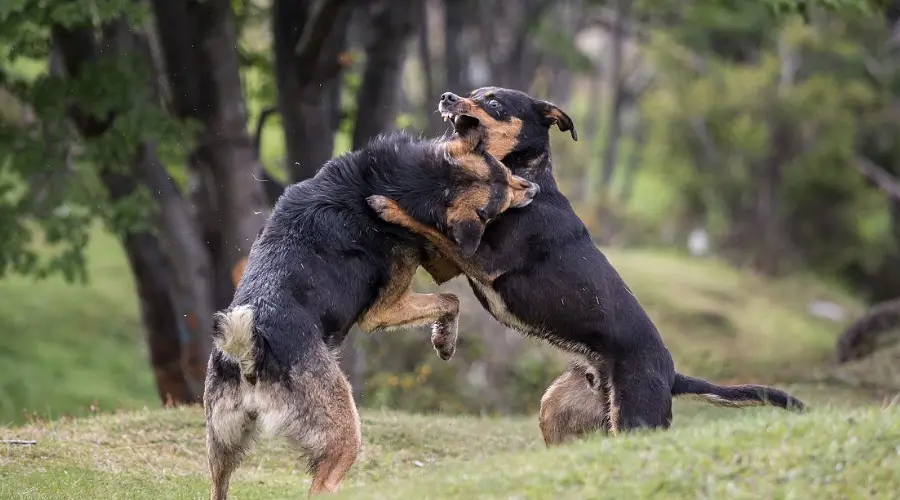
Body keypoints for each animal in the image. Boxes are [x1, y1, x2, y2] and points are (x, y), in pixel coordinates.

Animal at [203, 122, 536, 496]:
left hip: (222, 446)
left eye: (504, 173)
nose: (533, 188)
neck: (415, 181)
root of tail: (251, 350)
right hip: (343, 436)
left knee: (218, 483)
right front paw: (445, 341)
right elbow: (450, 300)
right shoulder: (383, 311)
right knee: (323, 485)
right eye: (499, 203)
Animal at [370, 88, 804, 440]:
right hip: (556, 405)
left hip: (633, 418)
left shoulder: (484, 259)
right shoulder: (457, 263)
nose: (447, 97)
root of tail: (671, 376)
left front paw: (388, 204)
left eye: (493, 102)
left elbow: (428, 224)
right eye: (472, 92)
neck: (522, 176)